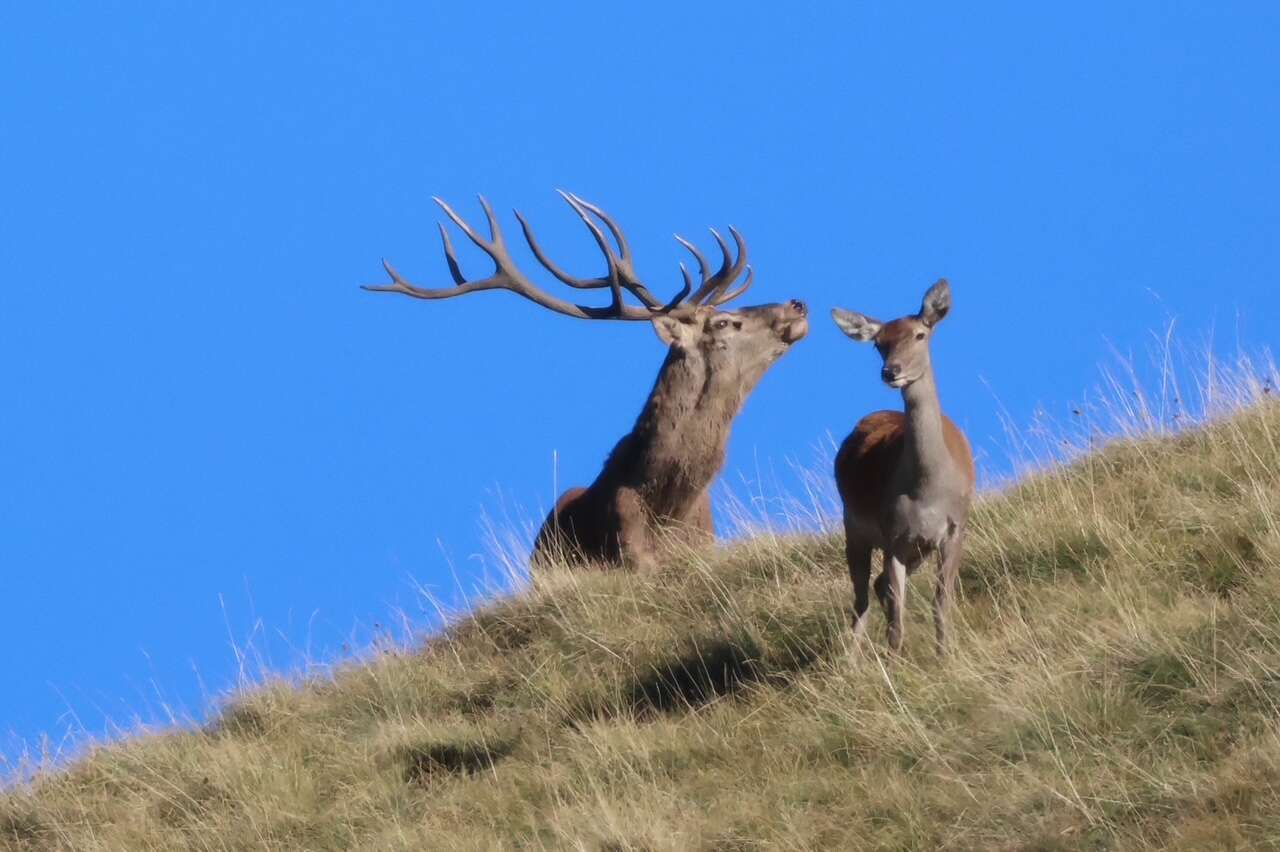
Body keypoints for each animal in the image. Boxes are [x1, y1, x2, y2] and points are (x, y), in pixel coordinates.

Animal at [830, 279, 975, 654]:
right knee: (862, 599)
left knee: (877, 587)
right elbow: (898, 616)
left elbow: (941, 602)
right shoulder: (893, 535)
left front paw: (945, 655)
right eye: (879, 344)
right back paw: (852, 660)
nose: (891, 371)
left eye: (920, 334)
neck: (928, 490)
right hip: (854, 527)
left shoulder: (954, 529)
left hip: (915, 550)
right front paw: (895, 661)